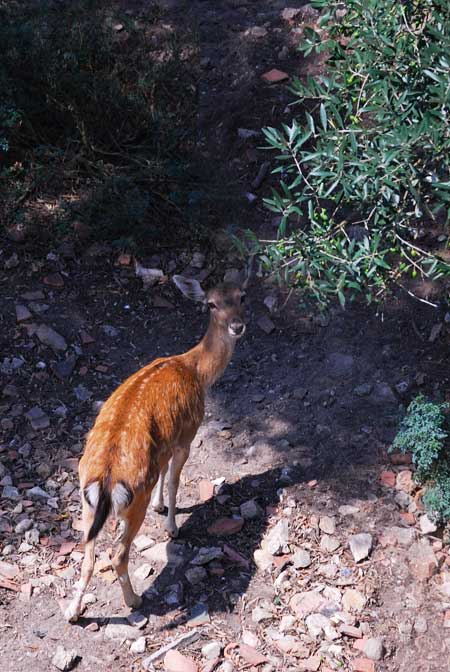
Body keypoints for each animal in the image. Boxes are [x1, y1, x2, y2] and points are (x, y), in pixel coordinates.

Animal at [63, 272, 246, 620]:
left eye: (242, 296)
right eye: (211, 304)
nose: (237, 326)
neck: (196, 371)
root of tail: (106, 479)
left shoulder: (165, 441)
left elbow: (162, 471)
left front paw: (162, 508)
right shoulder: (188, 432)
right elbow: (174, 480)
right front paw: (172, 526)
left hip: (86, 502)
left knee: (88, 555)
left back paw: (73, 612)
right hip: (135, 499)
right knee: (117, 554)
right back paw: (134, 601)